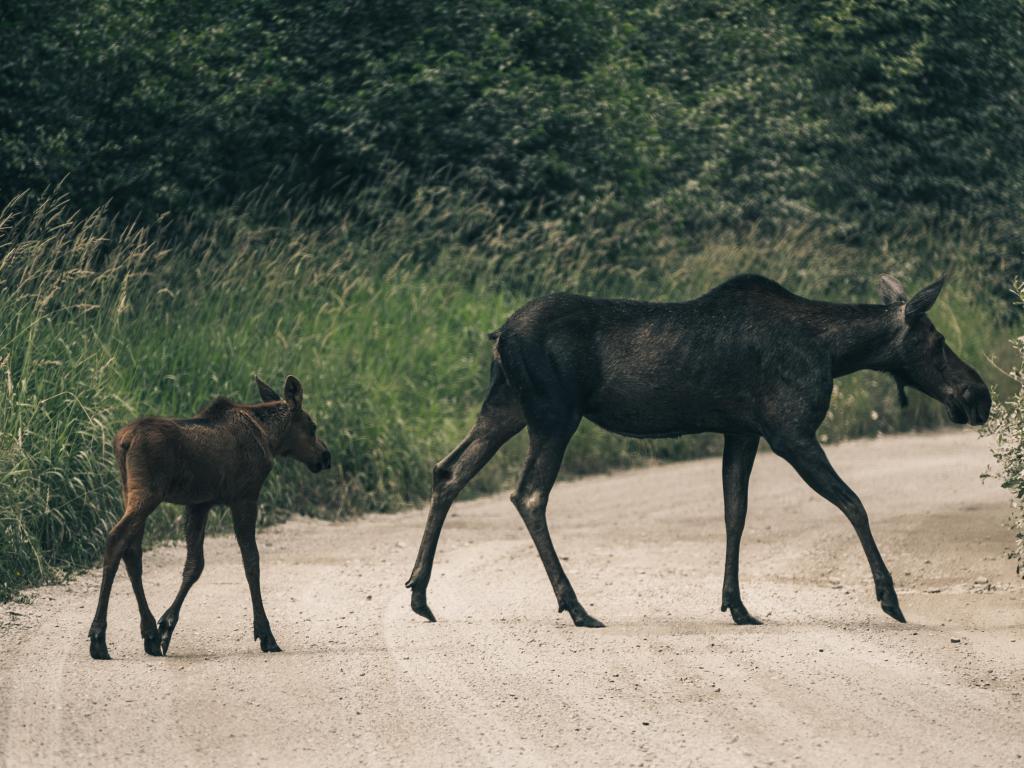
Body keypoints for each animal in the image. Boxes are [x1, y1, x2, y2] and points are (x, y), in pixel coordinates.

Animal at [88, 376, 329, 659]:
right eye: (312, 427)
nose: (325, 456)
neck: (270, 438)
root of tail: (125, 440)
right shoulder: (245, 496)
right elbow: (251, 561)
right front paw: (266, 634)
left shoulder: (199, 504)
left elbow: (194, 565)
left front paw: (166, 627)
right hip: (147, 493)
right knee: (117, 540)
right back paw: (99, 637)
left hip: (129, 490)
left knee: (132, 550)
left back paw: (149, 634)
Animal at [407, 276, 991, 630]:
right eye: (938, 341)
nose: (978, 395)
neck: (835, 352)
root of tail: (499, 334)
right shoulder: (790, 431)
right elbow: (854, 504)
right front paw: (889, 598)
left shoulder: (742, 432)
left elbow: (736, 513)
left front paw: (737, 604)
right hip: (554, 414)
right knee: (527, 494)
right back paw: (575, 606)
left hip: (506, 406)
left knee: (448, 470)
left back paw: (419, 594)